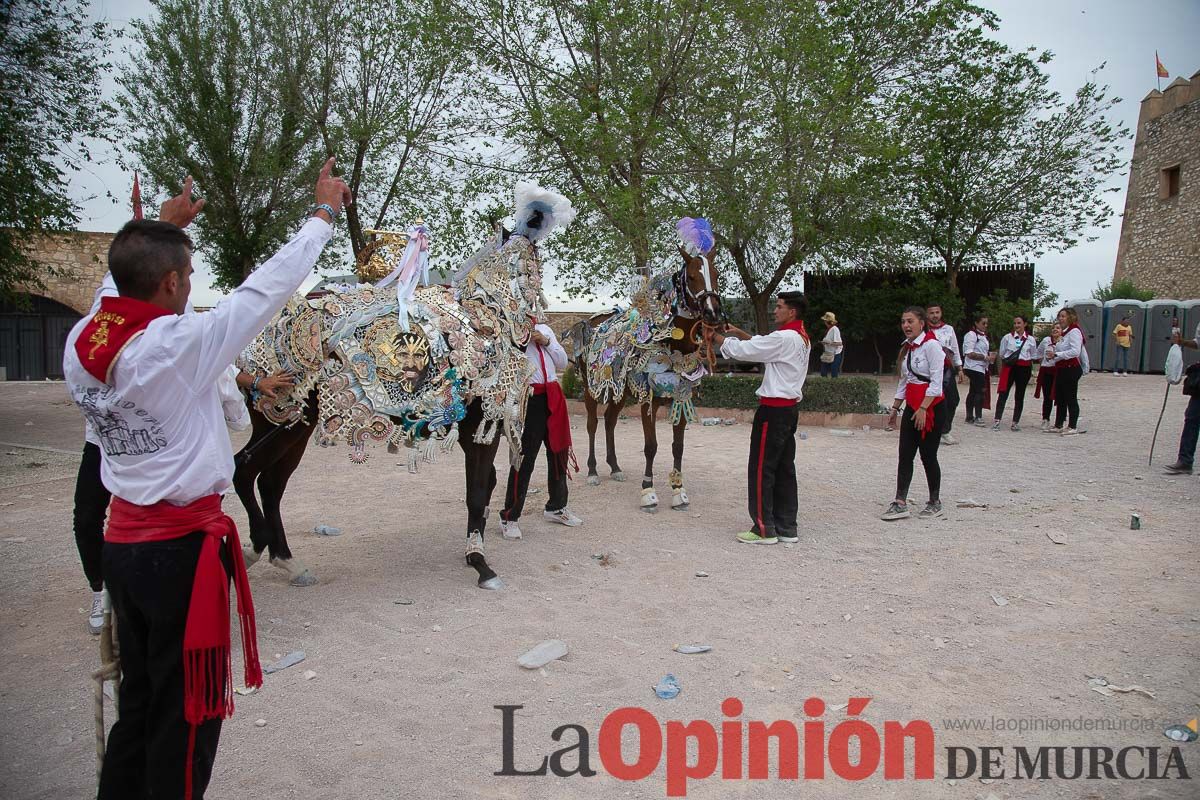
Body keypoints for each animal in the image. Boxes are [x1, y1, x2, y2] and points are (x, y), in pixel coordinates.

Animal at [232, 184, 576, 592]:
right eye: (533, 264)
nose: (538, 314)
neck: (485, 319)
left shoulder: (467, 431)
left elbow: (485, 486)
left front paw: (475, 548)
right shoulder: (481, 430)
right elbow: (477, 491)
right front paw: (481, 563)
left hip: (293, 428)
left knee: (270, 484)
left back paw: (285, 559)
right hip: (282, 423)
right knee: (243, 471)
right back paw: (256, 547)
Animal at [564, 217, 720, 513]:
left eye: (715, 275)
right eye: (692, 276)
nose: (713, 313)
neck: (670, 344)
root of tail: (589, 323)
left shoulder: (681, 396)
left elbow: (677, 446)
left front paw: (678, 492)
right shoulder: (649, 400)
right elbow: (651, 446)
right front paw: (648, 492)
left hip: (621, 391)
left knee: (610, 422)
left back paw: (614, 467)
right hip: (591, 390)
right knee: (592, 425)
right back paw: (592, 471)